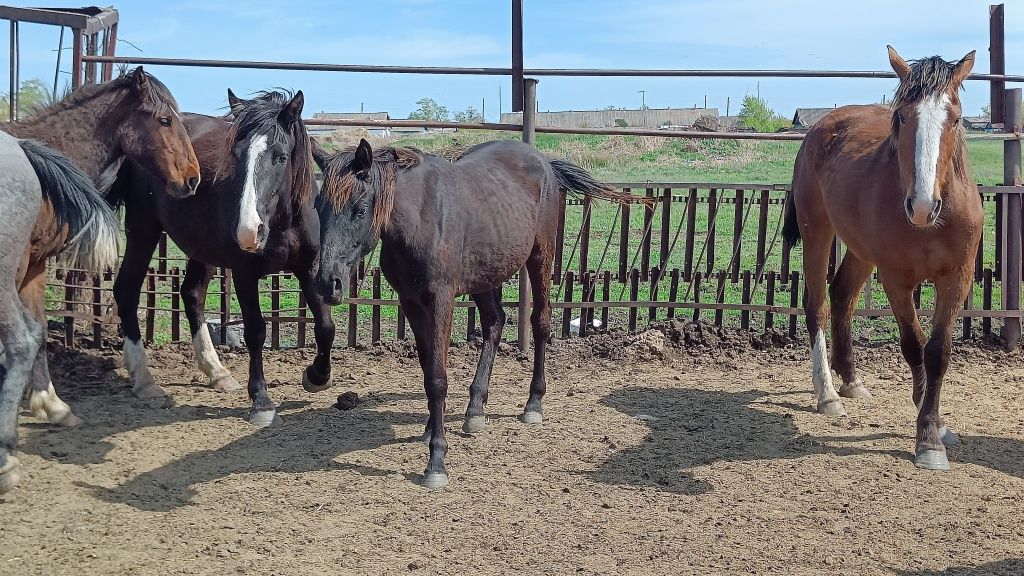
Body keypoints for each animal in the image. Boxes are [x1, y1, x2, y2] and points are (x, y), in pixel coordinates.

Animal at [1, 68, 199, 422]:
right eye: (164, 120)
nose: (192, 179)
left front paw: (49, 403)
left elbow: (38, 329)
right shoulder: (16, 266)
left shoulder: (35, 265)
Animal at [112, 88, 335, 422]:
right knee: (126, 288)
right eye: (237, 155)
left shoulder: (309, 267)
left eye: (281, 156)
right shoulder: (244, 274)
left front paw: (317, 376)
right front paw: (261, 401)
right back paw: (144, 379)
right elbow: (256, 331)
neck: (282, 222)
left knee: (191, 295)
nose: (248, 231)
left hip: (199, 247)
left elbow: (325, 326)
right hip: (143, 228)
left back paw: (216, 371)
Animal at [311, 138, 634, 483]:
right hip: (486, 273)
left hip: (540, 256)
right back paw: (475, 409)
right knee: (495, 323)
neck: (420, 219)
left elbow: (437, 378)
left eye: (359, 209)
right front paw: (431, 429)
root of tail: (544, 162)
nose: (327, 283)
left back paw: (533, 404)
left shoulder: (442, 300)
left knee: (540, 323)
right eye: (318, 207)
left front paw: (436, 460)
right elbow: (428, 368)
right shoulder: (411, 302)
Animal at [782, 44, 983, 467]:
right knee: (817, 304)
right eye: (902, 116)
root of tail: (820, 129)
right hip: (817, 232)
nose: (922, 206)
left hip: (860, 250)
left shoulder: (956, 278)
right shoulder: (896, 279)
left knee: (842, 295)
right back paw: (827, 394)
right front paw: (927, 437)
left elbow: (938, 351)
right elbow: (913, 345)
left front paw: (935, 427)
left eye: (956, 119)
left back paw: (851, 380)